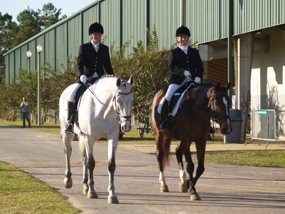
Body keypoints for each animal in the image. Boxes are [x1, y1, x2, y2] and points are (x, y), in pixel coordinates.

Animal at [58, 75, 134, 204]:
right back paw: (68, 180)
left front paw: (112, 195)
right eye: (118, 100)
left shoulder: (112, 137)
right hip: (67, 132)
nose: (126, 126)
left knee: (84, 157)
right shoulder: (90, 137)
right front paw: (92, 192)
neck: (103, 110)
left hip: (83, 137)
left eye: (132, 100)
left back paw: (85, 185)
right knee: (67, 152)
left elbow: (111, 165)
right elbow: (91, 163)